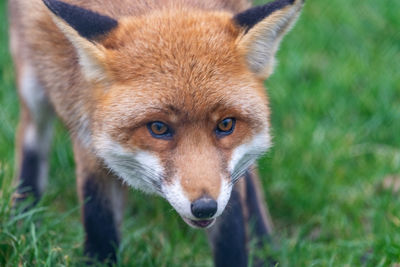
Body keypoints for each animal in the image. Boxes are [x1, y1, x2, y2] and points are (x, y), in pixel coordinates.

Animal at [7, 0, 304, 266]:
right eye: (159, 128)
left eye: (226, 125)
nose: (205, 207)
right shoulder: (88, 137)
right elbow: (100, 225)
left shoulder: (225, 184)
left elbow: (231, 234)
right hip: (33, 88)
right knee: (31, 141)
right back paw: (22, 218)